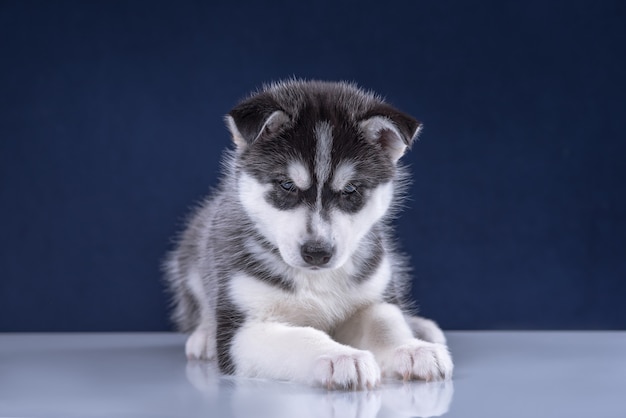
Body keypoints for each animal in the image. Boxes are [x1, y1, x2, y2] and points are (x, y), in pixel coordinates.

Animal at [163, 81, 450, 388]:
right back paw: (203, 337)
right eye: (287, 185)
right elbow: (301, 336)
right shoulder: (241, 328)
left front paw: (412, 349)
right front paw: (340, 357)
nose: (317, 253)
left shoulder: (374, 297)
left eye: (351, 189)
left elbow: (386, 324)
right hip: (191, 260)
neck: (316, 280)